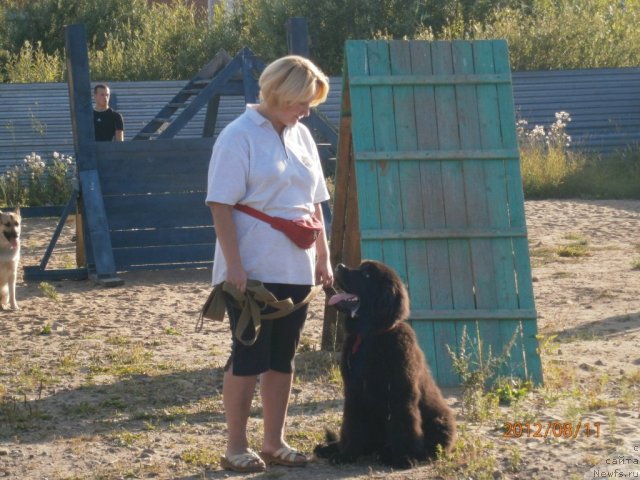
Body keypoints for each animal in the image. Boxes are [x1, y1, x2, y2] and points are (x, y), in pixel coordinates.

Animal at [316, 260, 456, 466]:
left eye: (366, 275)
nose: (339, 265)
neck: (370, 336)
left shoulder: (400, 393)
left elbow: (403, 425)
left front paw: (403, 458)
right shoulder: (354, 393)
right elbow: (352, 425)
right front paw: (347, 454)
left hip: (439, 422)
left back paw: (389, 453)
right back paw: (330, 448)